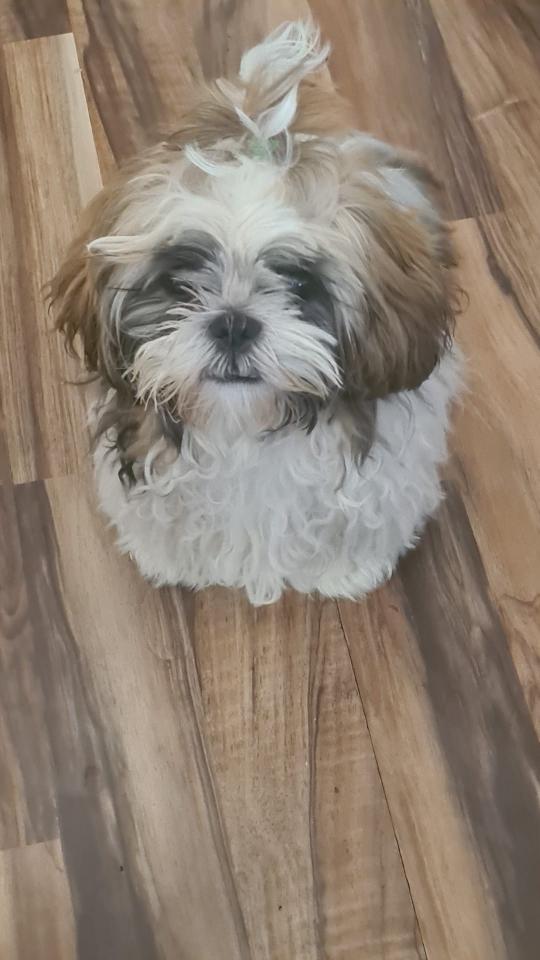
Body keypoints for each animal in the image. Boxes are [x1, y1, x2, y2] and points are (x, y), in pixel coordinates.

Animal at [51, 21, 461, 605]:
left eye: (300, 283)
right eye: (180, 281)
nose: (233, 323)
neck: (243, 425)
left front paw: (346, 571)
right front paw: (169, 559)